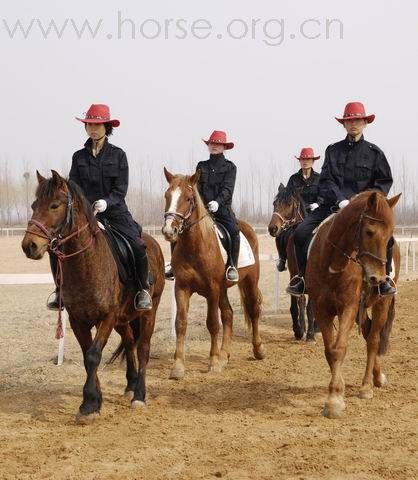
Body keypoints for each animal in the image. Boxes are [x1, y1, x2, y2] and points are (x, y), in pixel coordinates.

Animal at [21, 171, 165, 422]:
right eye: (33, 205)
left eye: (55, 205)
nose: (29, 245)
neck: (86, 264)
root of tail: (152, 242)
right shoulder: (79, 320)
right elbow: (87, 357)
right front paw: (94, 400)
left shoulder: (107, 317)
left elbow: (93, 355)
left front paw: (89, 405)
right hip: (123, 319)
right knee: (129, 342)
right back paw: (130, 386)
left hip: (148, 312)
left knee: (143, 348)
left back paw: (139, 395)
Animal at [161, 169, 262, 378]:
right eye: (167, 195)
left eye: (188, 198)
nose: (168, 230)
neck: (195, 246)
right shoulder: (181, 288)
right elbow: (180, 323)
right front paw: (178, 366)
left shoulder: (212, 289)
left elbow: (213, 323)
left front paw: (213, 362)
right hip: (223, 289)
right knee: (229, 314)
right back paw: (225, 355)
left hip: (249, 282)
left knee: (253, 310)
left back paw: (257, 350)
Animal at [306, 189, 402, 418]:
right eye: (369, 232)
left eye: (389, 236)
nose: (377, 278)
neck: (333, 264)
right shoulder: (321, 310)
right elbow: (330, 351)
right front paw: (337, 390)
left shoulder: (348, 308)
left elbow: (339, 348)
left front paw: (334, 400)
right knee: (368, 333)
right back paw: (377, 376)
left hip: (382, 303)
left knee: (374, 340)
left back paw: (367, 386)